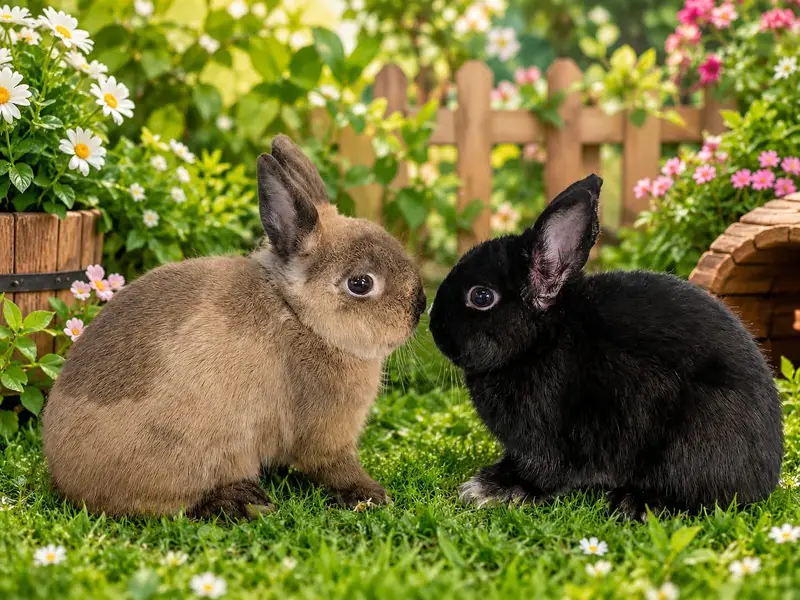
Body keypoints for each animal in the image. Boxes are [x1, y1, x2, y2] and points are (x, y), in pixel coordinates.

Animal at [42, 135, 427, 519]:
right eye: (360, 284)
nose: (420, 305)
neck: (301, 316)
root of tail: (65, 474)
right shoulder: (326, 434)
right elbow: (336, 467)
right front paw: (372, 494)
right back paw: (242, 500)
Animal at [429, 174, 784, 520]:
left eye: (481, 296)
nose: (433, 326)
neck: (540, 339)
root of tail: (766, 474)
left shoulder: (546, 436)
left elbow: (540, 471)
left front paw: (489, 490)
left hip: (693, 441)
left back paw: (634, 503)